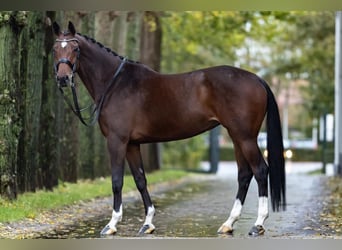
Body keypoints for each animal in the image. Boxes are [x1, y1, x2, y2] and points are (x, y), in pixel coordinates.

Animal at [51, 21, 286, 236]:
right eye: (55, 49)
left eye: (75, 49)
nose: (63, 79)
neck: (116, 84)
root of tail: (257, 79)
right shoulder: (132, 144)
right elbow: (140, 180)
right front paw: (147, 223)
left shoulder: (117, 141)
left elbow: (117, 181)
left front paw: (111, 224)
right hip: (237, 137)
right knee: (244, 174)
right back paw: (229, 223)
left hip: (245, 137)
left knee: (260, 170)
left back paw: (258, 224)